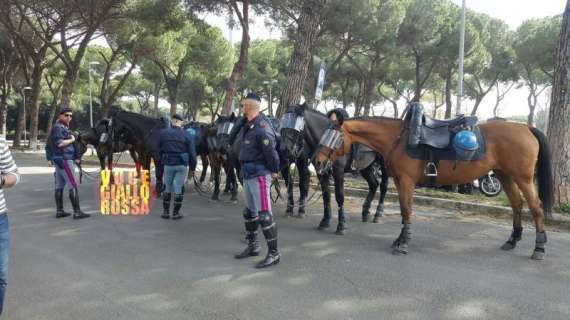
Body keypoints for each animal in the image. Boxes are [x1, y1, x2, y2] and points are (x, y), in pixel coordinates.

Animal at [278, 105, 388, 235]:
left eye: (296, 124)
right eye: (284, 121)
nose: (284, 149)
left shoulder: (338, 172)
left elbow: (339, 197)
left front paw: (341, 225)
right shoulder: (321, 172)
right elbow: (326, 196)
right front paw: (325, 221)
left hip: (384, 165)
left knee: (383, 186)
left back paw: (378, 214)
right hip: (366, 167)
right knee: (373, 184)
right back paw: (365, 213)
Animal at [312, 111, 552, 258]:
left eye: (333, 137)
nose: (317, 161)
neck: (398, 139)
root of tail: (527, 127)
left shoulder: (406, 181)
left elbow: (407, 211)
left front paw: (403, 243)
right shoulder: (400, 181)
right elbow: (404, 211)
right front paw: (400, 239)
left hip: (523, 177)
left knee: (535, 208)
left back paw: (539, 248)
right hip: (505, 175)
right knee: (517, 205)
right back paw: (512, 240)